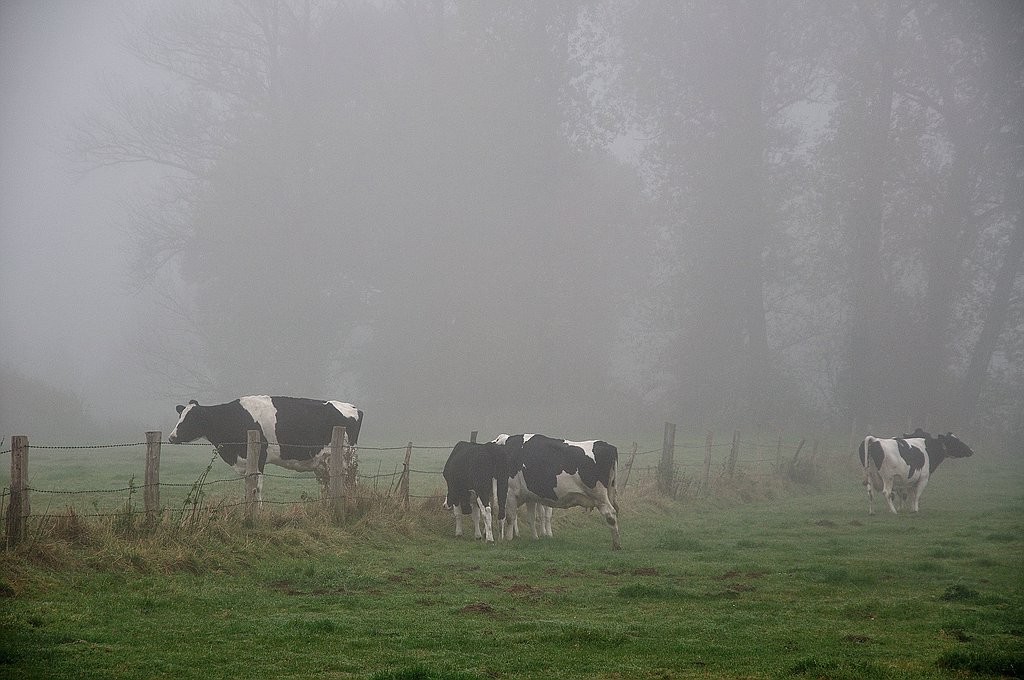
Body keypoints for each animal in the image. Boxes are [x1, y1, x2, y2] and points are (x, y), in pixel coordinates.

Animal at [165, 395, 362, 501]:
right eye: (180, 415)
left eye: (191, 418)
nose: (171, 437)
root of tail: (353, 408)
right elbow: (248, 486)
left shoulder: (258, 457)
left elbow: (256, 487)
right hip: (322, 462)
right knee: (326, 485)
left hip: (347, 458)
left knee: (352, 482)